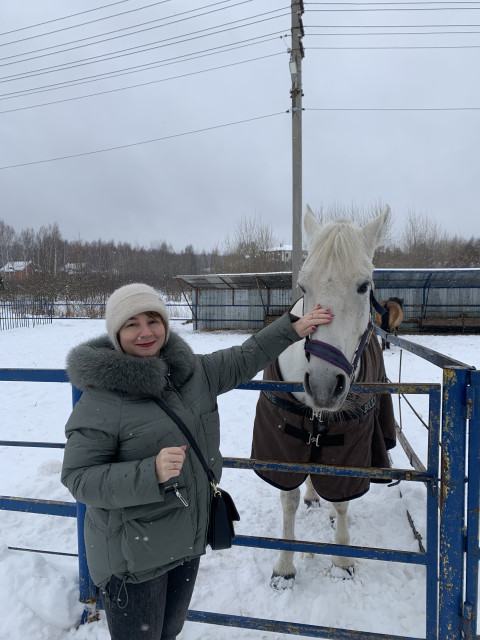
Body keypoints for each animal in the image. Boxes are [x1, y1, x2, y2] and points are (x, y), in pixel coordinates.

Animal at [253, 206, 392, 592]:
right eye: (303, 286)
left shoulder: (351, 443)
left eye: (363, 286)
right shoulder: (284, 439)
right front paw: (284, 567)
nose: (324, 385)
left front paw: (342, 561)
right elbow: (288, 499)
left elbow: (343, 499)